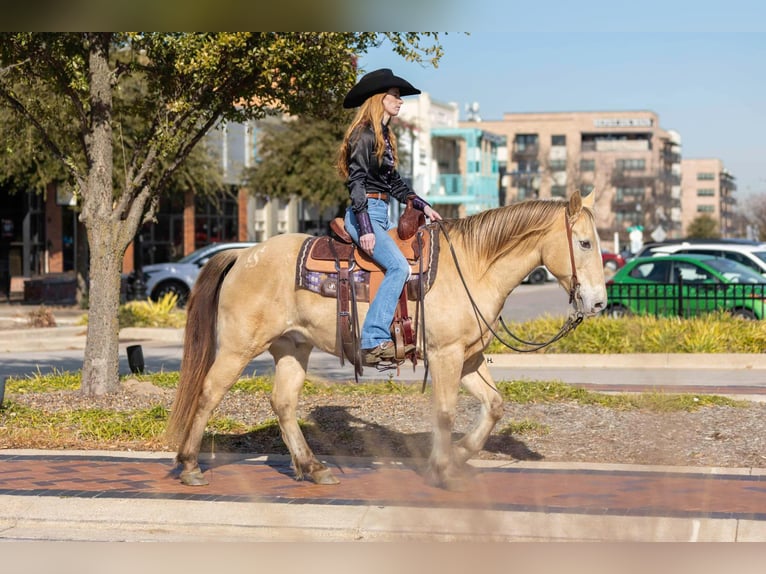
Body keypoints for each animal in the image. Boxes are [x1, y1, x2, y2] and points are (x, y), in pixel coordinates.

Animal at [166, 190, 607, 490]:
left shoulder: (468, 358)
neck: (473, 265)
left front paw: (460, 454)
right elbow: (444, 413)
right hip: (238, 348)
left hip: (293, 347)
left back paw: (313, 468)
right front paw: (443, 469)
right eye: (584, 243)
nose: (599, 302)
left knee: (284, 403)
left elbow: (494, 405)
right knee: (208, 393)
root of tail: (243, 255)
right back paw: (189, 465)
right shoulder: (445, 356)